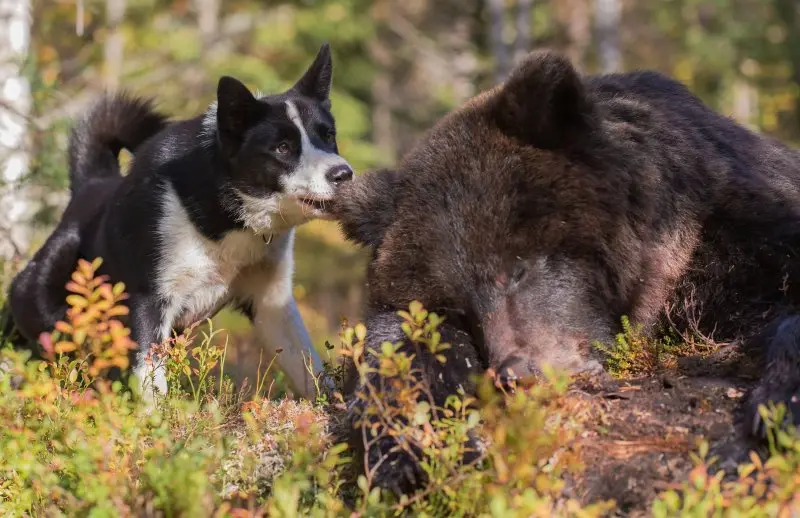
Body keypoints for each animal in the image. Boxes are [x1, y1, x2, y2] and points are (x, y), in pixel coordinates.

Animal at [8, 44, 354, 402]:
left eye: (328, 136)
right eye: (283, 148)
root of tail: (92, 184)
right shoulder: (148, 299)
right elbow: (150, 378)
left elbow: (309, 365)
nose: (344, 174)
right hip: (47, 303)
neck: (228, 212)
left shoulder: (272, 302)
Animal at [334, 50, 800, 498]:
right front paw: (401, 454)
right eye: (458, 308)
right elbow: (398, 346)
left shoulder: (738, 228)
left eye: (516, 268)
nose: (518, 373)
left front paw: (771, 411)